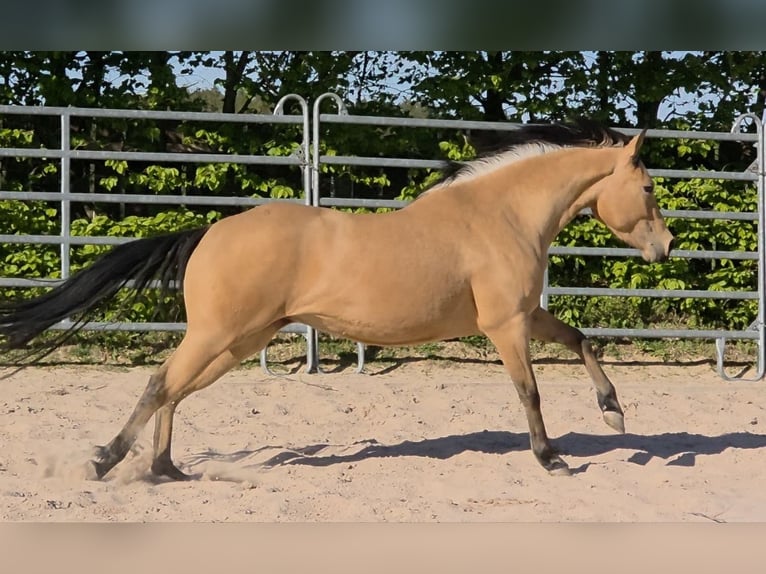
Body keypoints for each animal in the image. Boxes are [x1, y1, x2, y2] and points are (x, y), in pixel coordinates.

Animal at [0, 120, 674, 479]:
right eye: (646, 187)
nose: (665, 247)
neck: (499, 215)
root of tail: (210, 233)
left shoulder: (526, 315)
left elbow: (581, 341)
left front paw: (613, 412)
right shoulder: (506, 325)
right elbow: (529, 392)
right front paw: (550, 458)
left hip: (239, 341)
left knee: (173, 387)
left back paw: (165, 469)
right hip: (220, 336)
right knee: (160, 383)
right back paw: (106, 461)